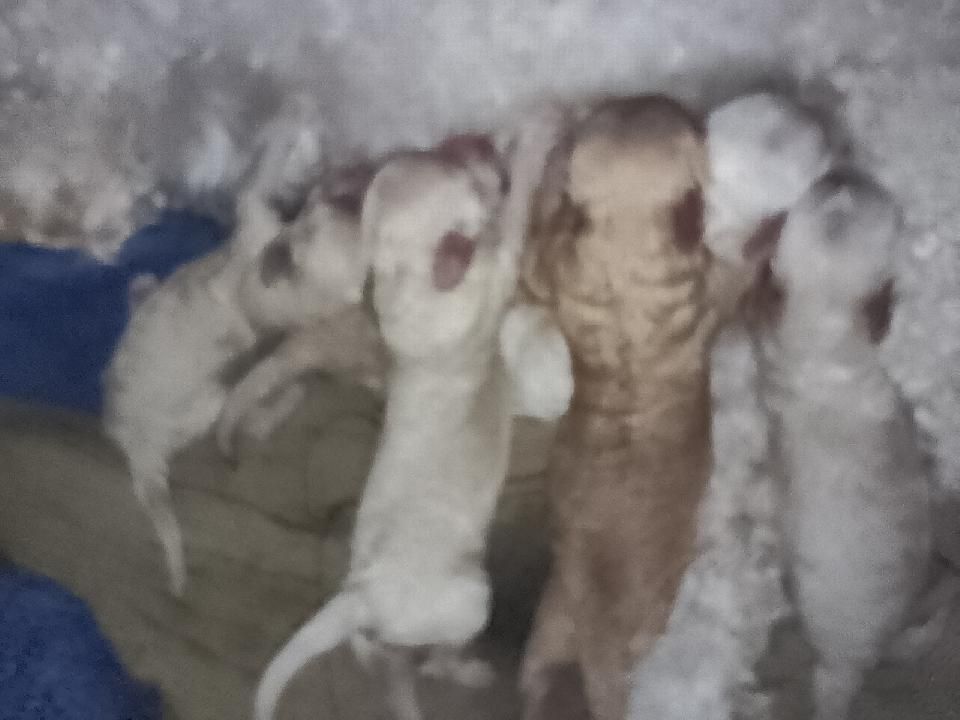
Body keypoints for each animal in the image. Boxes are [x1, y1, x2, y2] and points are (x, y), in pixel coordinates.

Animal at [252, 110, 571, 720]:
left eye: (440, 153)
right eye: (472, 187)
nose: (472, 139)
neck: (407, 272)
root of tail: (358, 598)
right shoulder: (499, 263)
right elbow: (515, 215)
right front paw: (535, 135)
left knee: (397, 661)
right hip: (469, 597)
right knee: (434, 658)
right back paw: (468, 670)